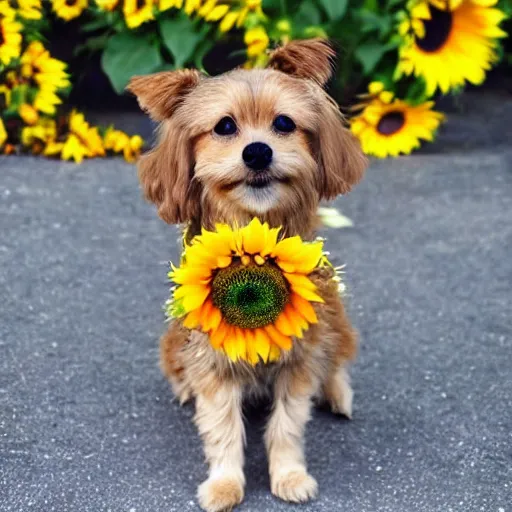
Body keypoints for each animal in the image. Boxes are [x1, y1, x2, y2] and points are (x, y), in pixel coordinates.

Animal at [128, 40, 368, 512]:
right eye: (225, 126)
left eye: (283, 123)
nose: (257, 152)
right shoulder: (213, 366)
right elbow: (223, 428)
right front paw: (224, 484)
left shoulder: (299, 360)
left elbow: (287, 426)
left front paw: (290, 476)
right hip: (173, 340)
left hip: (336, 317)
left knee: (336, 362)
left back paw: (338, 394)